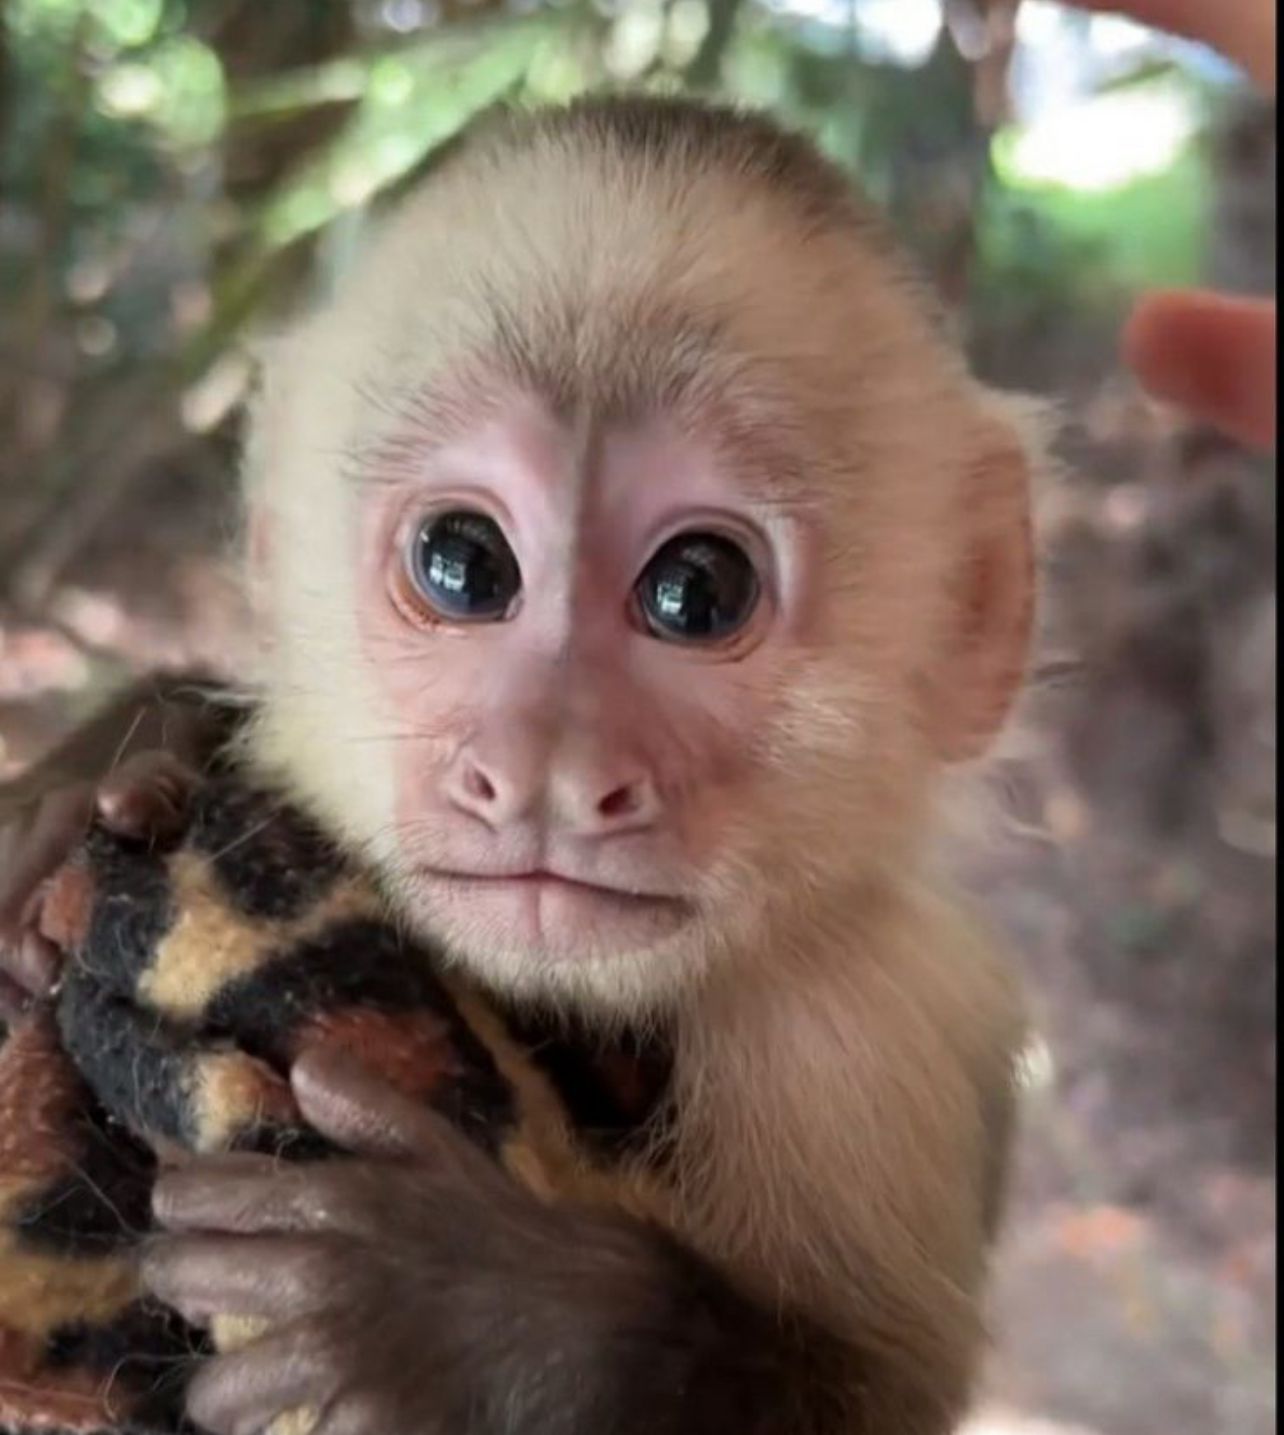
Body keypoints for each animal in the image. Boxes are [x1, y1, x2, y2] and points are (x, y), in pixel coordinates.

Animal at [0, 94, 1036, 1435]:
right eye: (464, 563)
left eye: (698, 589)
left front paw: (474, 1317)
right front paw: (103, 776)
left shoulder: (875, 1016)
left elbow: (879, 1387)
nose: (546, 770)